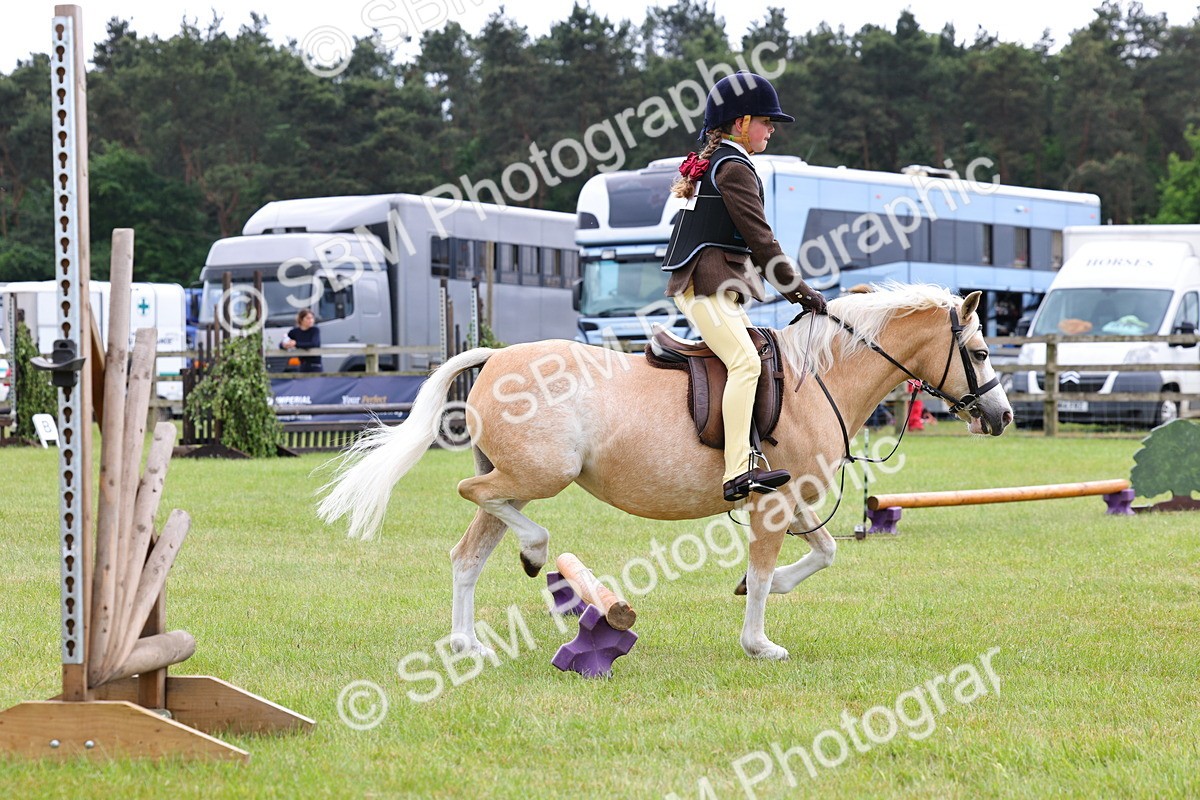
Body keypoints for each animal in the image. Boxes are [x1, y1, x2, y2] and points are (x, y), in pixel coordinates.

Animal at [318, 283, 1013, 661]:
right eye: (980, 352)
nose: (1002, 416)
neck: (818, 377)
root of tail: (495, 358)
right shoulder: (770, 504)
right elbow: (769, 572)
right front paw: (759, 643)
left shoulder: (791, 497)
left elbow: (824, 551)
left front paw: (764, 588)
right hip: (536, 476)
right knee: (479, 498)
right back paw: (535, 550)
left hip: (518, 480)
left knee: (467, 554)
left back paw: (468, 643)